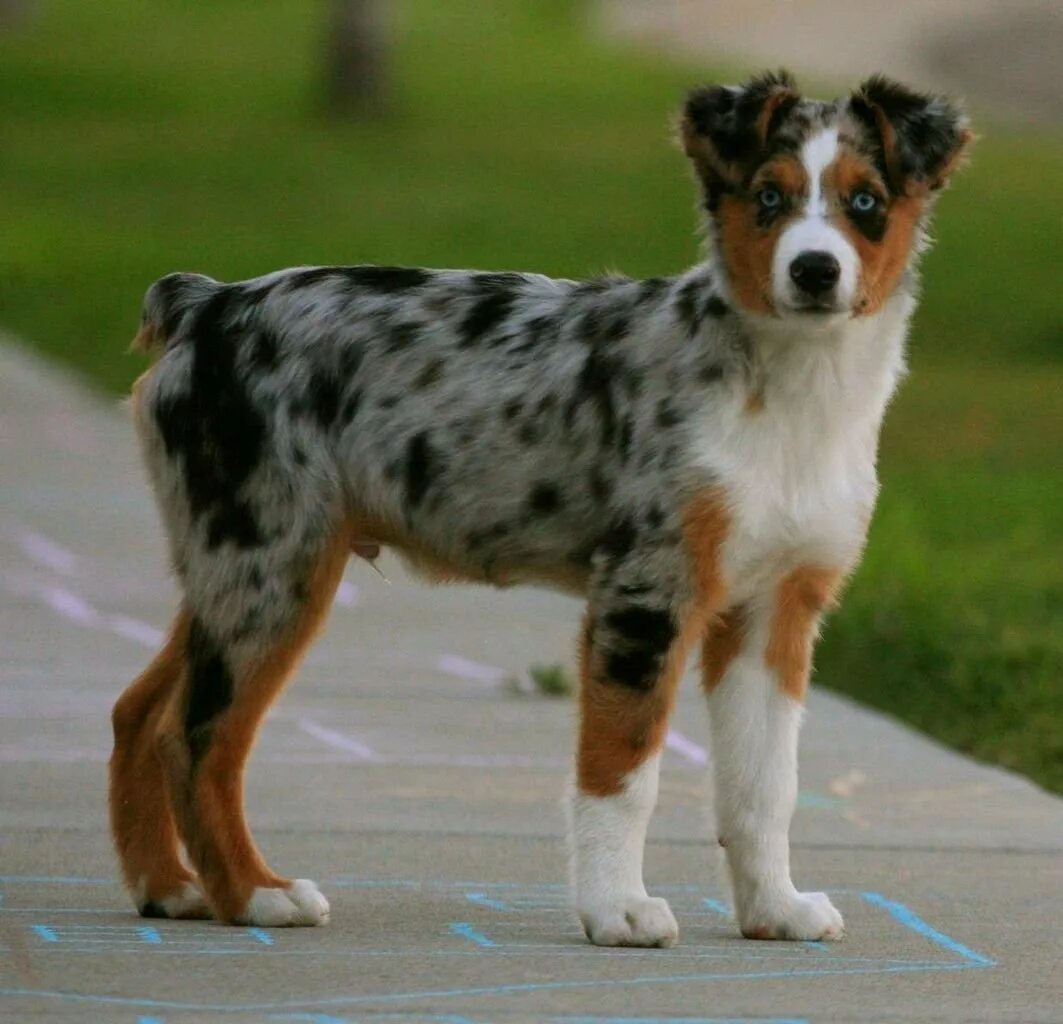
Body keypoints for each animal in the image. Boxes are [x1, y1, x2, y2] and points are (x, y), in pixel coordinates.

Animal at [110, 72, 973, 948]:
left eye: (865, 203)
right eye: (768, 196)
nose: (813, 271)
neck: (791, 393)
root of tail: (209, 306)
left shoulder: (776, 610)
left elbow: (764, 786)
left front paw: (773, 909)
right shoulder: (644, 594)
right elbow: (622, 769)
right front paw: (616, 909)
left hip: (234, 563)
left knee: (141, 711)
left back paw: (170, 888)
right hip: (272, 561)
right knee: (199, 734)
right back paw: (254, 895)